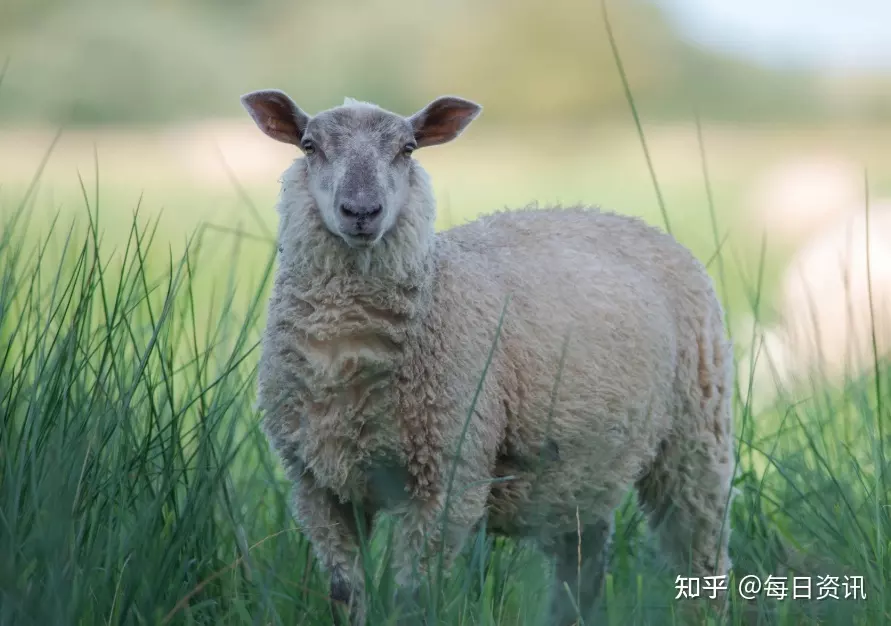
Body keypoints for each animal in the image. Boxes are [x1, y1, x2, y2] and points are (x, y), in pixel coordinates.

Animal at [240, 86, 736, 620]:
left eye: (408, 148)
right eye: (310, 146)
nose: (361, 211)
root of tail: (620, 216)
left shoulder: (447, 481)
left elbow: (413, 599)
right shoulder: (318, 487)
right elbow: (344, 594)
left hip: (695, 439)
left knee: (701, 551)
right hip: (581, 468)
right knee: (582, 563)